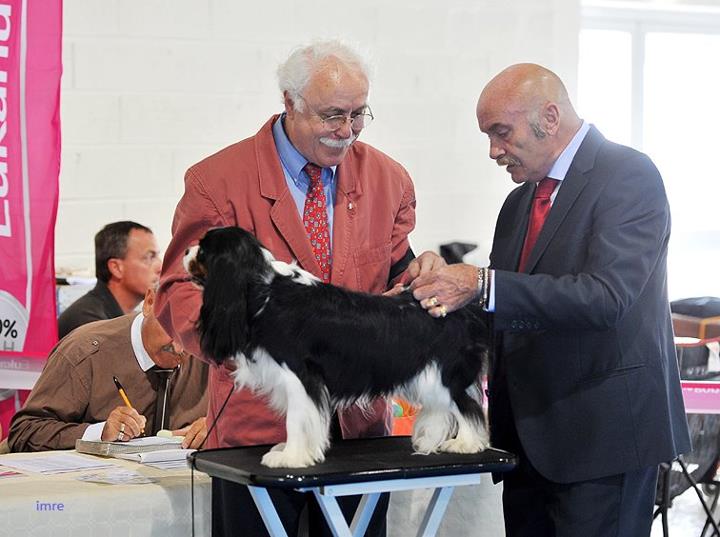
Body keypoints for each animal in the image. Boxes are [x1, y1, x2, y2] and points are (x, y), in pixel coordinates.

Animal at [184, 226, 491, 468]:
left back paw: (466, 444)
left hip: (445, 375)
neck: (264, 287)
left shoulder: (300, 376)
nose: (186, 250)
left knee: (467, 407)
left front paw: (290, 457)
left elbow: (296, 419)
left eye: (203, 252)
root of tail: (462, 311)